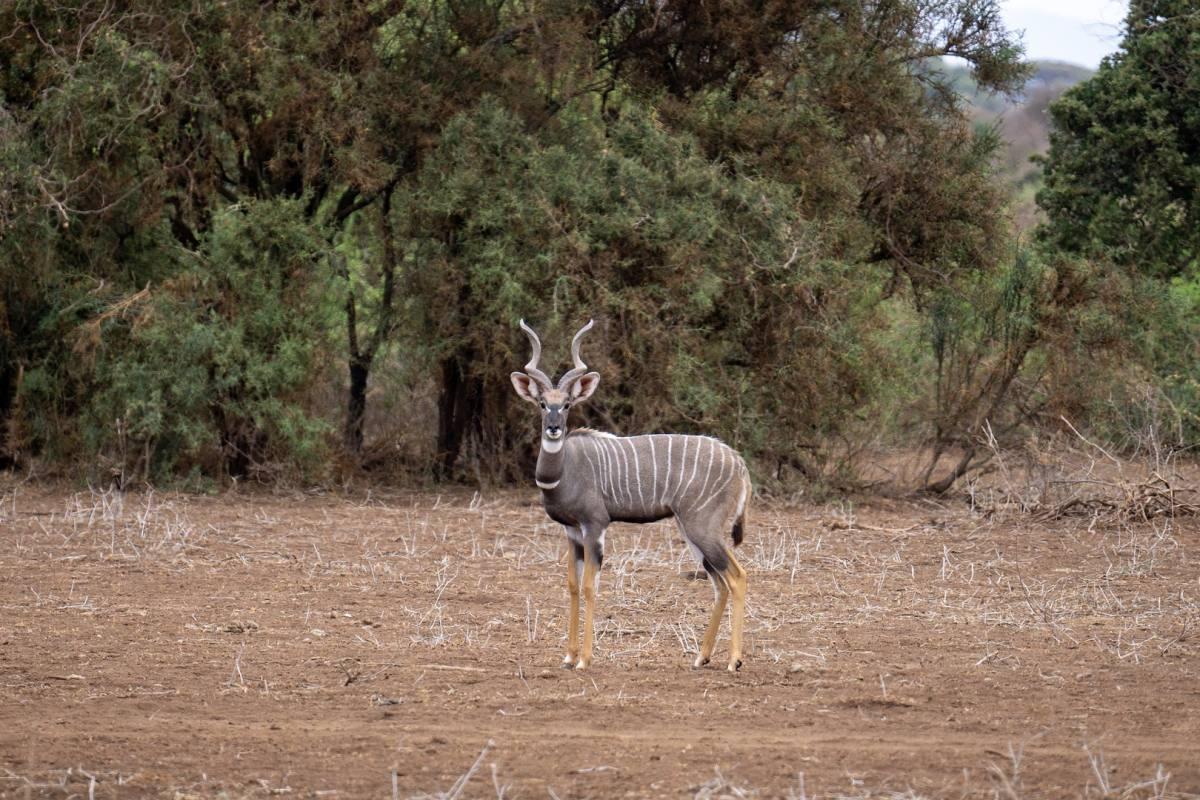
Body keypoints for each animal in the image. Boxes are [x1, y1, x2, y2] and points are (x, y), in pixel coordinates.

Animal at [508, 319, 748, 671]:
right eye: (542, 404)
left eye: (566, 404)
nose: (553, 428)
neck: (565, 470)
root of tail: (738, 461)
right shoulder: (571, 532)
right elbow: (572, 586)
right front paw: (568, 656)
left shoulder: (595, 526)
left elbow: (590, 586)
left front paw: (585, 660)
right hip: (692, 531)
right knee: (719, 582)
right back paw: (701, 657)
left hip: (703, 527)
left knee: (737, 576)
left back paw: (734, 661)